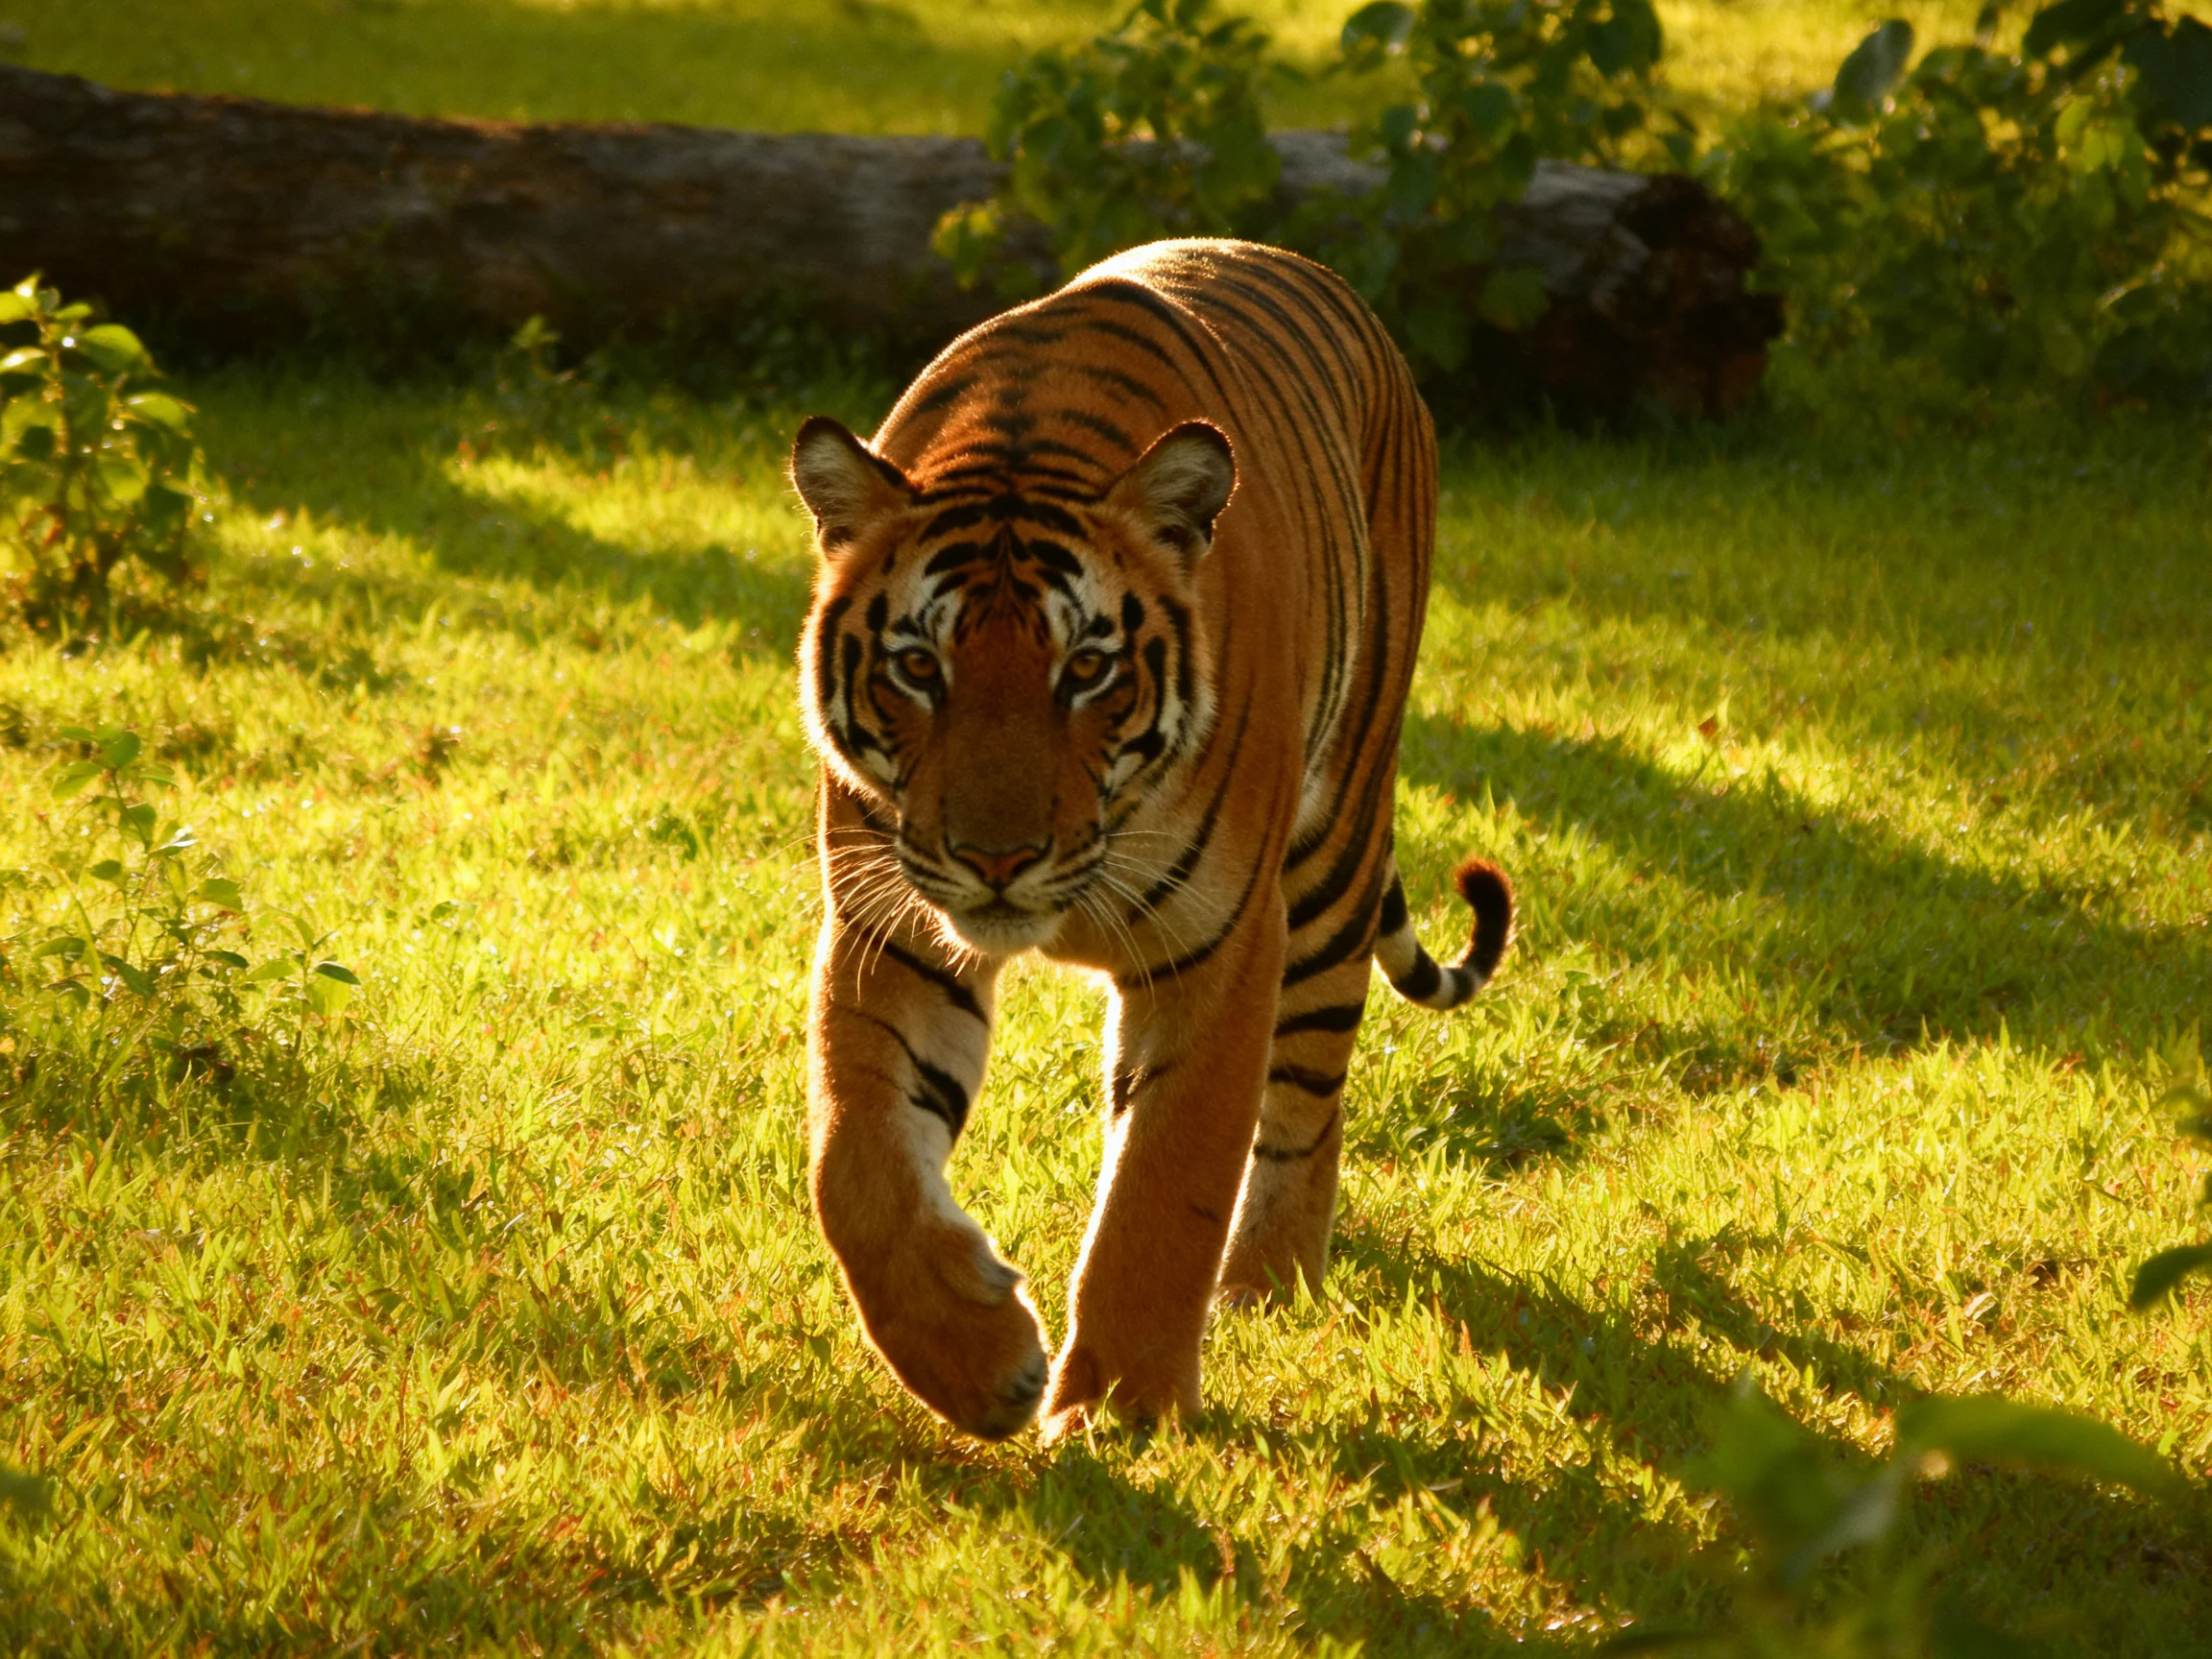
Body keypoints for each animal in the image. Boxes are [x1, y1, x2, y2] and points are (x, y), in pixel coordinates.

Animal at [788, 238, 1513, 1442]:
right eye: (918, 668)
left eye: (1086, 669)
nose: (996, 860)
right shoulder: (892, 923)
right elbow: (854, 1162)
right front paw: (980, 1365)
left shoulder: (1221, 943)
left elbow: (1165, 1183)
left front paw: (1120, 1410)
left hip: (1331, 865)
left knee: (1308, 1104)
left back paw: (1266, 1283)